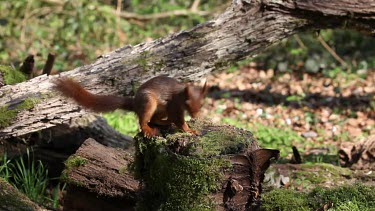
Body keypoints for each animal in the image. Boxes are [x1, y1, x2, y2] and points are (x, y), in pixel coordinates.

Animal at [54, 76, 209, 137]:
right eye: (187, 103)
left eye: (202, 103)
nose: (195, 115)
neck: (181, 94)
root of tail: (135, 103)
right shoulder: (174, 105)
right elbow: (179, 121)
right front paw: (190, 130)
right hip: (149, 102)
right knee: (144, 121)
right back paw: (148, 129)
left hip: (160, 110)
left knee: (155, 119)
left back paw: (165, 122)